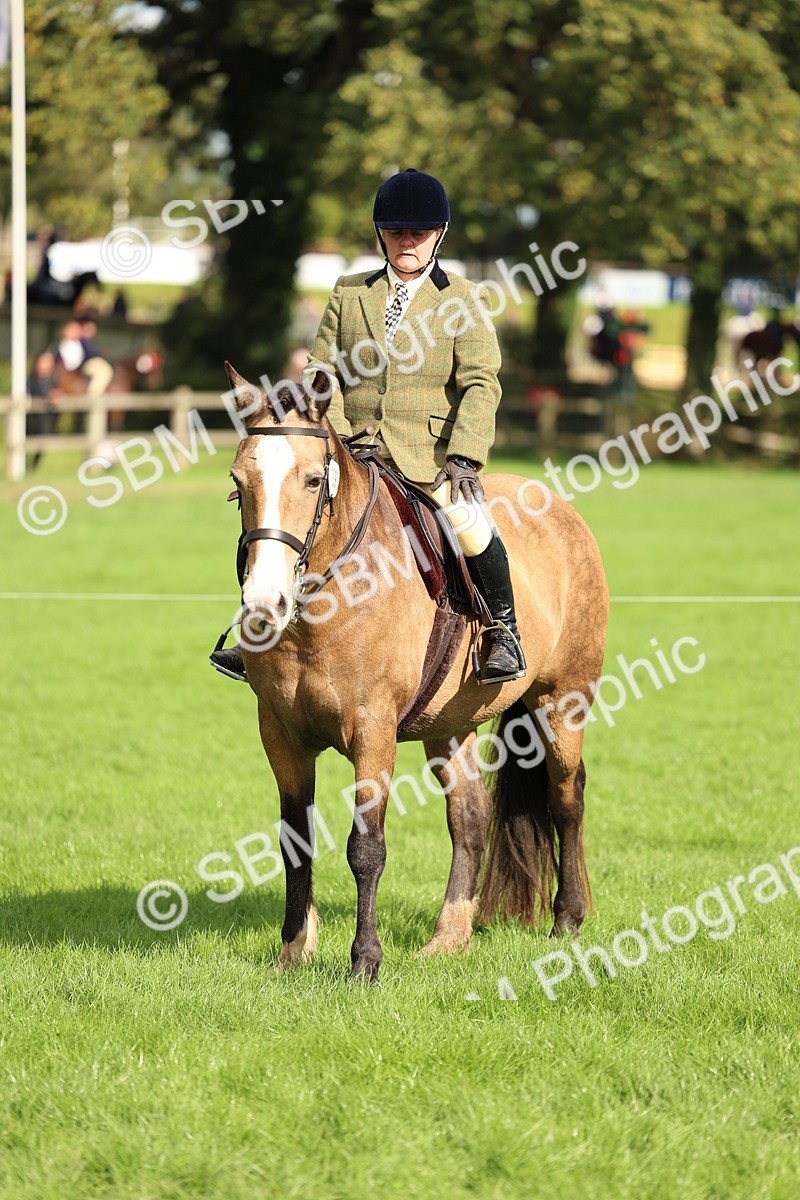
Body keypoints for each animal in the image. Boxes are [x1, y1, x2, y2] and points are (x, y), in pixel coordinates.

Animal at [223, 363, 609, 982]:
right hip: (449, 726)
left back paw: (566, 921)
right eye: (239, 481)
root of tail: (554, 504)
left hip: (562, 701)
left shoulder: (373, 731)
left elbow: (366, 848)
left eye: (312, 480)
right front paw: (293, 952)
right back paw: (449, 938)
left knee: (566, 798)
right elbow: (294, 841)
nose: (264, 605)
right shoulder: (280, 734)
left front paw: (364, 962)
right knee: (470, 818)